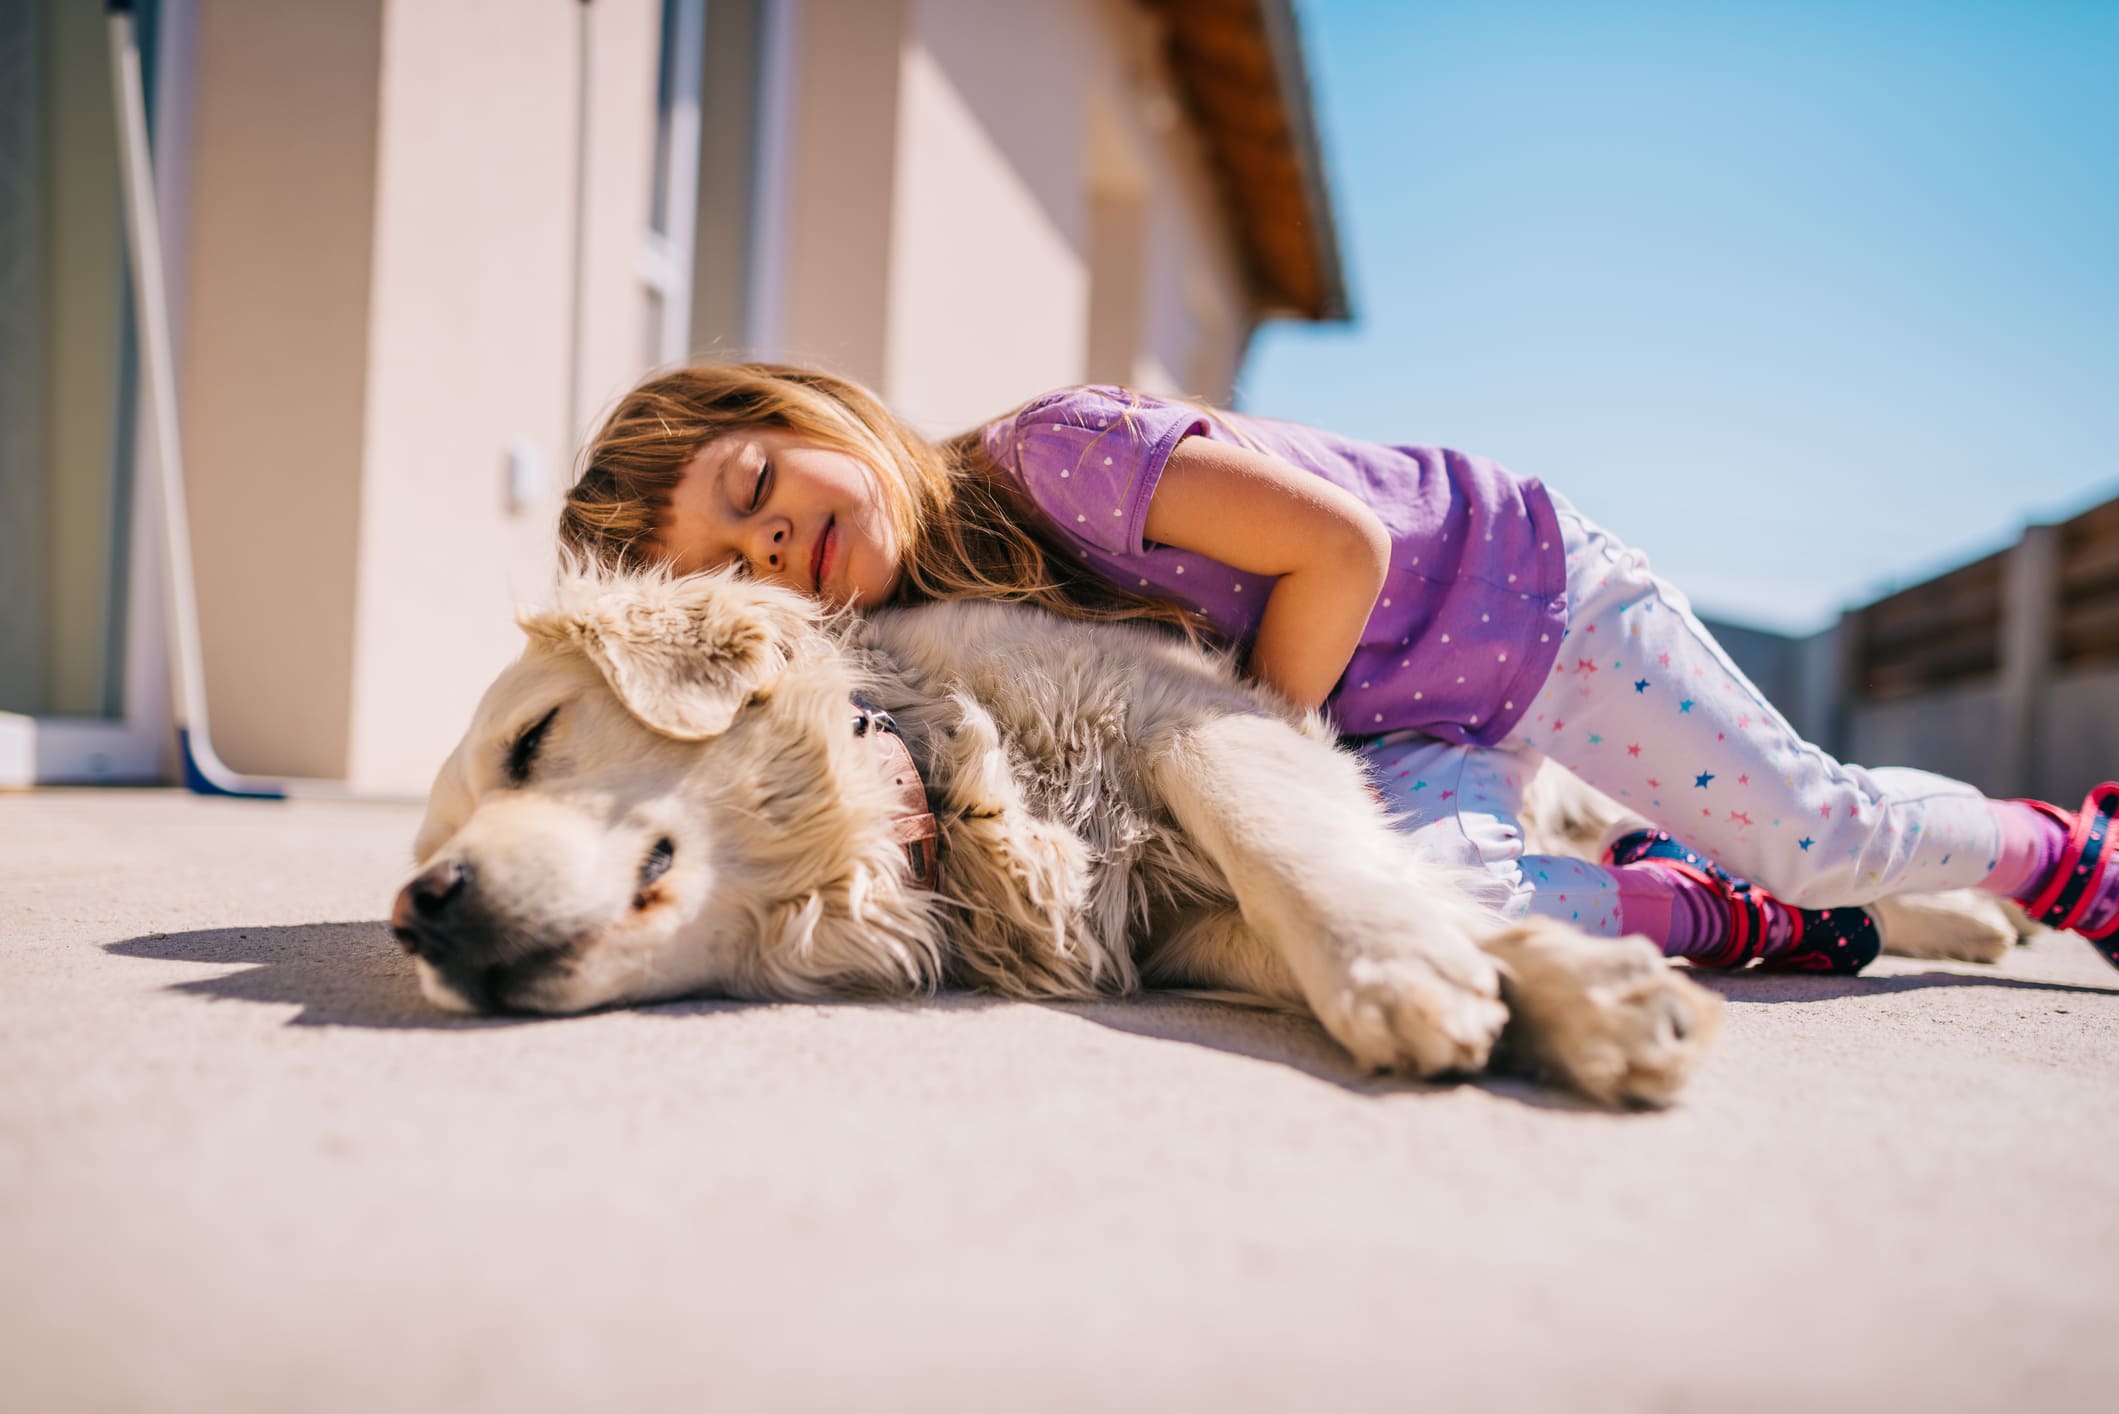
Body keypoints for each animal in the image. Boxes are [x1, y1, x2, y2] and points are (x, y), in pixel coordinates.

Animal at [398, 568, 1720, 1110]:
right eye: (425, 852)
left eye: (532, 741)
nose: (419, 910)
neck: (929, 786)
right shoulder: (1168, 926)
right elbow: (1377, 906)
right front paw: (1578, 996)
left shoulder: (1202, 721)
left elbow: (1283, 849)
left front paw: (1402, 975)